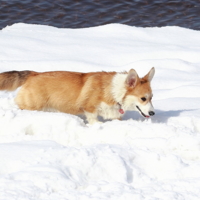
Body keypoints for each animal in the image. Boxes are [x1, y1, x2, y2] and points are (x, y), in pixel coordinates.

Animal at [0, 67, 155, 123]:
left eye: (151, 97)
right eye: (143, 98)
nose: (153, 113)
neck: (114, 91)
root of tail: (33, 74)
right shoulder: (90, 109)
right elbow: (94, 121)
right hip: (32, 106)